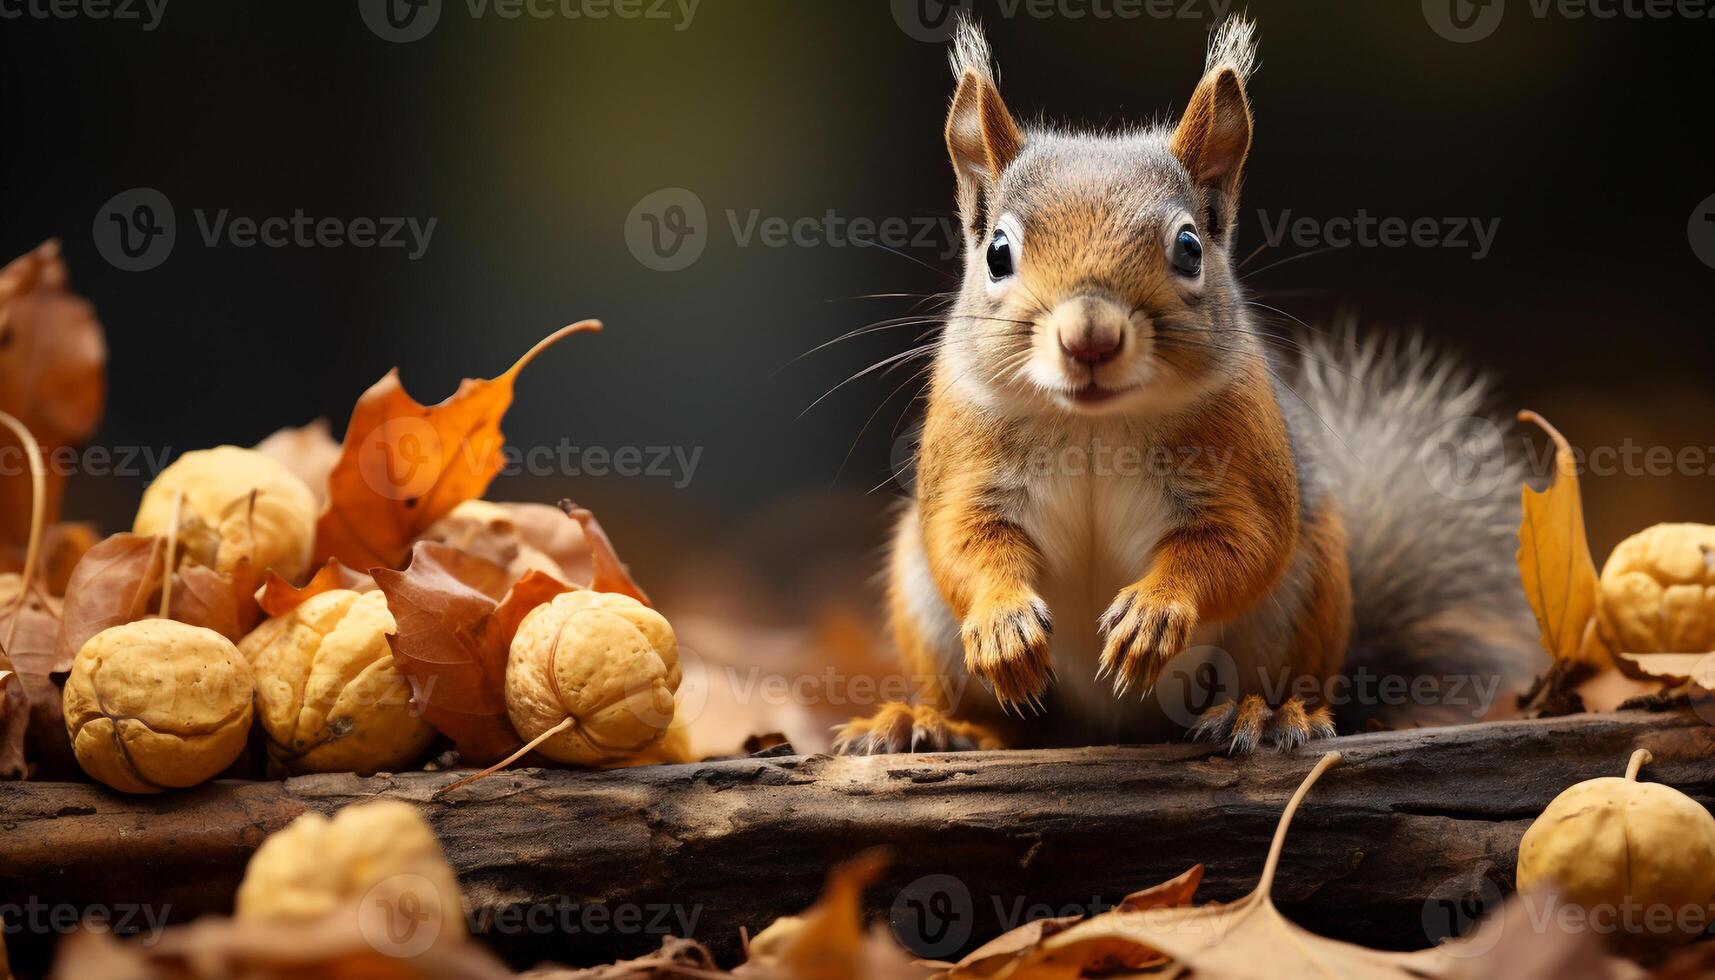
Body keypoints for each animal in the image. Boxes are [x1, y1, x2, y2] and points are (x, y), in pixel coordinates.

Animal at [830, 15, 1543, 755]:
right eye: (996, 253)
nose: (1090, 338)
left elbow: (1238, 544)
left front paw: (1152, 614)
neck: (1093, 425)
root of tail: (1106, 730)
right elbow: (961, 539)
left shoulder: (1242, 464)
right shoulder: (965, 460)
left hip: (1300, 604)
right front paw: (1003, 623)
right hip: (925, 612)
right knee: (1008, 725)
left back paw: (1262, 715)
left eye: (1189, 247)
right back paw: (931, 725)